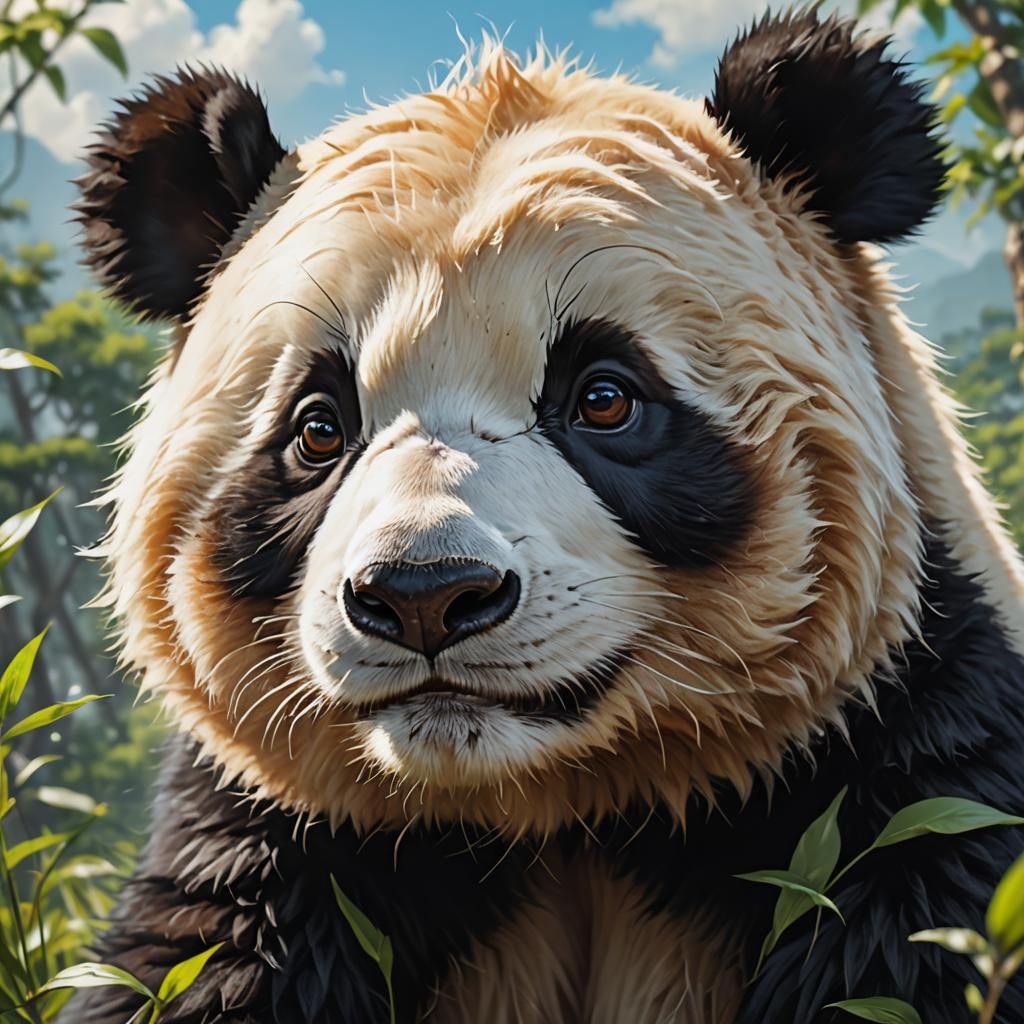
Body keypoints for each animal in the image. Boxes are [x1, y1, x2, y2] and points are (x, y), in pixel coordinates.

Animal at [68, 8, 1024, 1024]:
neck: (549, 802)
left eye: (604, 398)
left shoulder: (908, 757)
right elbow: (202, 956)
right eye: (318, 428)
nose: (423, 595)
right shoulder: (276, 843)